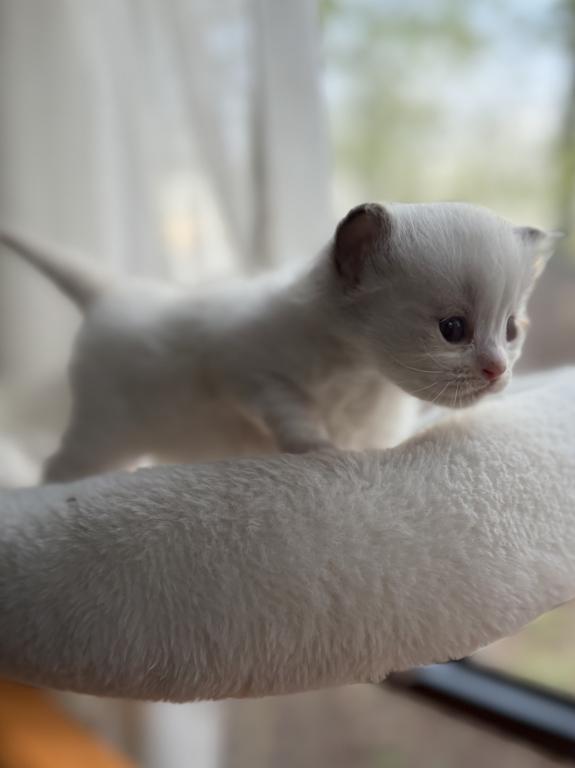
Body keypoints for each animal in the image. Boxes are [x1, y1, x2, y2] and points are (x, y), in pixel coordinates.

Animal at [0, 202, 557, 482]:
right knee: (58, 468)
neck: (363, 376)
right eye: (453, 329)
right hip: (104, 432)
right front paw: (317, 450)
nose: (498, 369)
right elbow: (288, 411)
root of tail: (115, 292)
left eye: (510, 329)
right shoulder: (245, 370)